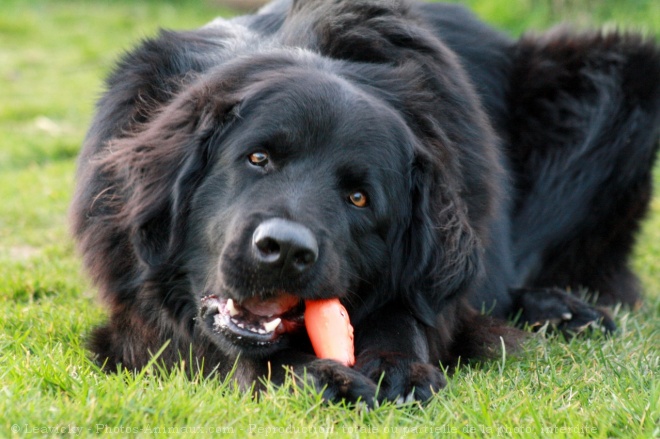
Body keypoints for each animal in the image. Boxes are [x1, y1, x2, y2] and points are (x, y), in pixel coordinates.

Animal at [69, 0, 656, 406]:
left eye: (358, 198)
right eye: (258, 158)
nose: (285, 249)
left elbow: (408, 313)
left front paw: (398, 365)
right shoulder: (138, 316)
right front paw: (313, 374)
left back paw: (561, 310)